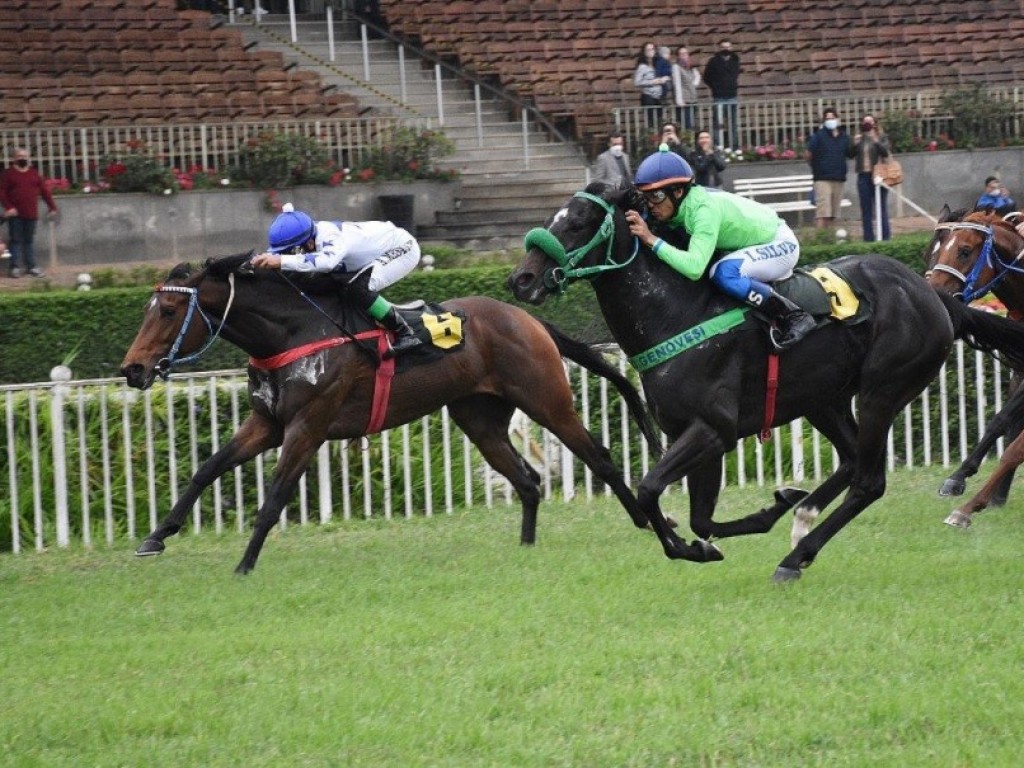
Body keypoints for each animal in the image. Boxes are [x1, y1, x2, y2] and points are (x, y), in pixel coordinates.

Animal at [121, 252, 663, 573]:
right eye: (147, 310)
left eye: (167, 312)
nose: (132, 369)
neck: (292, 332)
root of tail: (527, 318)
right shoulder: (268, 423)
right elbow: (207, 468)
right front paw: (156, 538)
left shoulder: (308, 426)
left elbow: (273, 498)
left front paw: (245, 564)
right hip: (478, 417)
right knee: (527, 481)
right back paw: (526, 548)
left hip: (546, 400)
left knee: (599, 457)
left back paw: (648, 522)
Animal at [925, 210, 1024, 528]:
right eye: (933, 251)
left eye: (965, 251)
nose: (933, 293)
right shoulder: (1020, 371)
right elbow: (1001, 425)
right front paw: (961, 479)